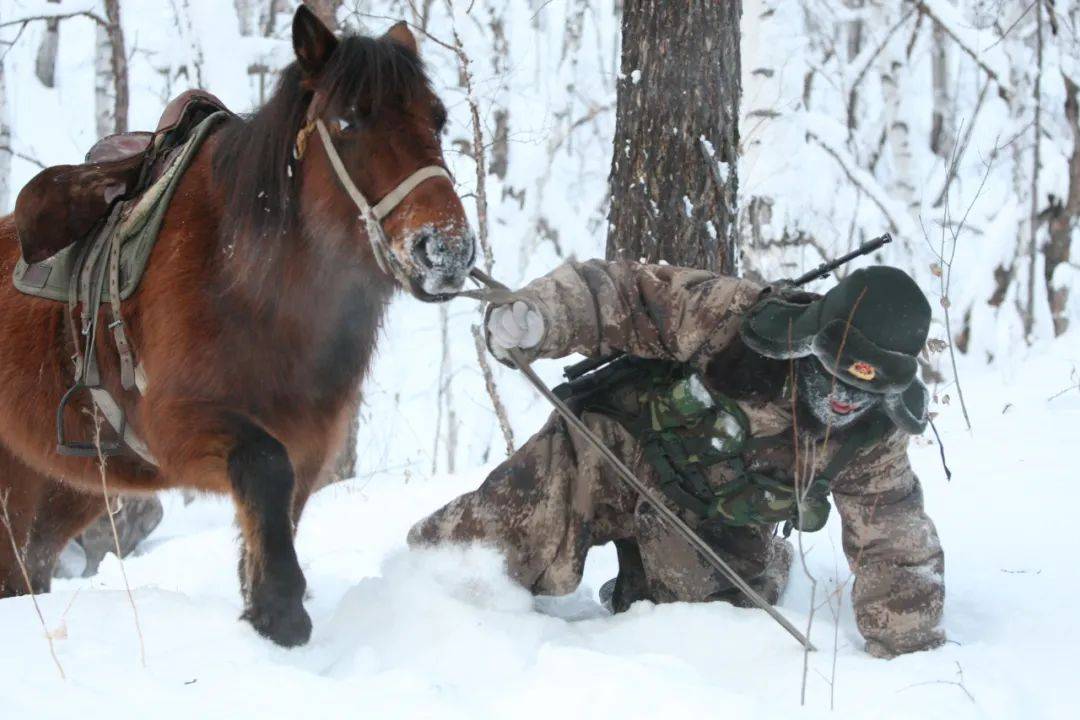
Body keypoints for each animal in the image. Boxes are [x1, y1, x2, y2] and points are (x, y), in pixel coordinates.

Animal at [0, 5, 475, 647]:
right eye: (348, 121)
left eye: (438, 119)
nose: (445, 250)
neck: (248, 284)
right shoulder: (179, 424)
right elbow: (264, 468)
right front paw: (281, 609)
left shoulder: (309, 443)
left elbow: (273, 513)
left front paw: (261, 606)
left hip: (63, 487)